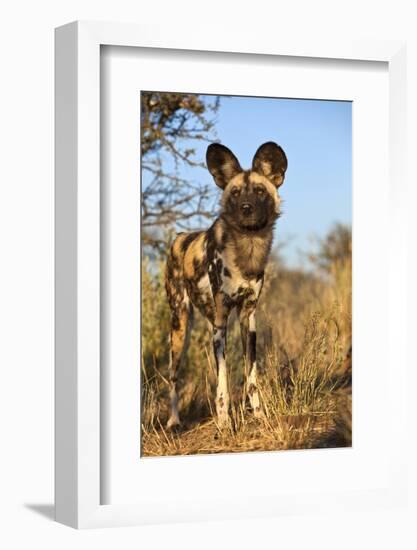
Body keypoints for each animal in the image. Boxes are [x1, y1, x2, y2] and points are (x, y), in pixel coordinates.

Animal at [164, 142, 288, 432]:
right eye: (235, 193)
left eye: (259, 191)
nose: (246, 207)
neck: (247, 249)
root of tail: (179, 237)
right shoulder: (221, 323)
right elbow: (222, 380)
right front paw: (224, 421)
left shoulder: (247, 318)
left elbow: (251, 377)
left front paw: (258, 415)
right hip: (180, 326)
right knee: (173, 375)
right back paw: (174, 421)